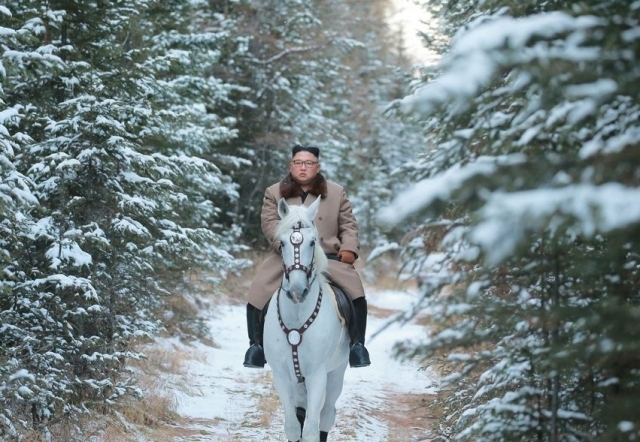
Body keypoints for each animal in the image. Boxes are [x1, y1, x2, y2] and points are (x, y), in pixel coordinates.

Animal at [264, 198, 350, 442]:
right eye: (282, 244)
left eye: (312, 242)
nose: (297, 290)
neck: (297, 316)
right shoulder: (281, 376)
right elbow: (294, 426)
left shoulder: (317, 375)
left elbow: (311, 429)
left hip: (336, 374)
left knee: (327, 415)